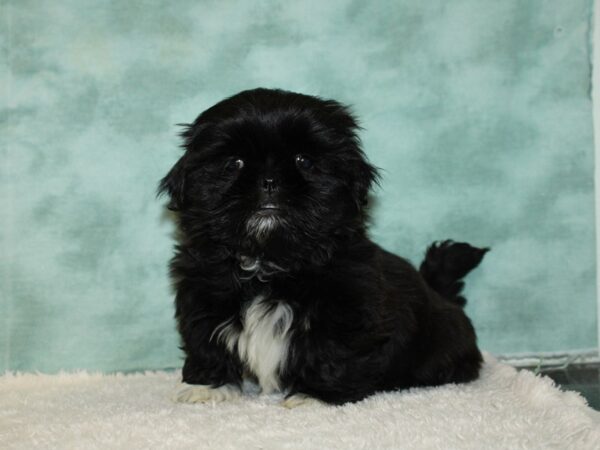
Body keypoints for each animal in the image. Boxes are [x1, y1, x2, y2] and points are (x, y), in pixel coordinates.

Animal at [159, 88, 488, 408]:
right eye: (234, 164)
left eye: (303, 161)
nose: (269, 181)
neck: (269, 261)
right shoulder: (203, 294)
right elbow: (205, 340)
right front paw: (209, 387)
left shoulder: (347, 309)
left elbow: (332, 351)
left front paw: (314, 396)